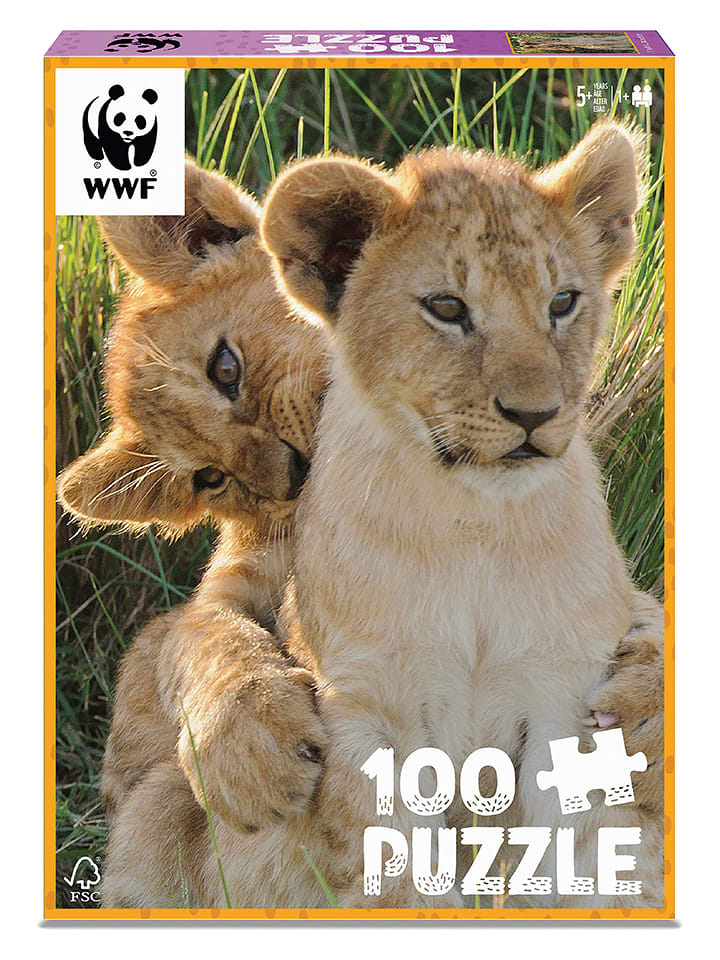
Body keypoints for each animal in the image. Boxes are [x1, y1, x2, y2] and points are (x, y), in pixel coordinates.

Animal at [95, 123, 665, 909]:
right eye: (446, 308)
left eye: (563, 303)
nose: (535, 414)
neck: (474, 524)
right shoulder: (363, 705)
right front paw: (252, 753)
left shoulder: (562, 692)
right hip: (153, 821)